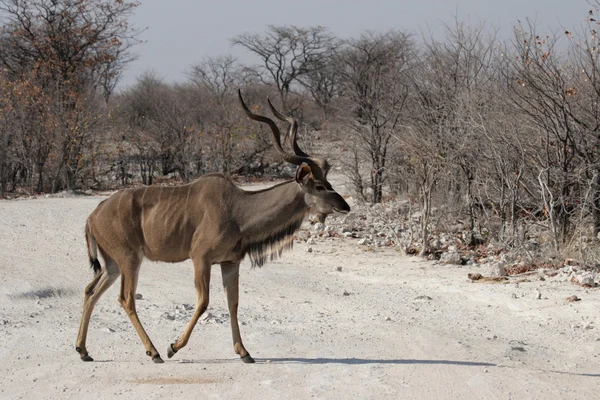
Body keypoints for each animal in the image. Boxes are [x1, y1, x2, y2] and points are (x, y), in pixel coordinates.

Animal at [74, 91, 352, 366]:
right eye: (319, 186)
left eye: (328, 182)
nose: (345, 206)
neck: (239, 211)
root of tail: (93, 215)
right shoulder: (201, 258)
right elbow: (203, 302)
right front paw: (173, 347)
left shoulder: (230, 263)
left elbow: (233, 303)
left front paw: (244, 352)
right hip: (130, 260)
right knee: (126, 299)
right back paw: (154, 352)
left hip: (113, 265)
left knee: (90, 290)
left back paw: (84, 350)